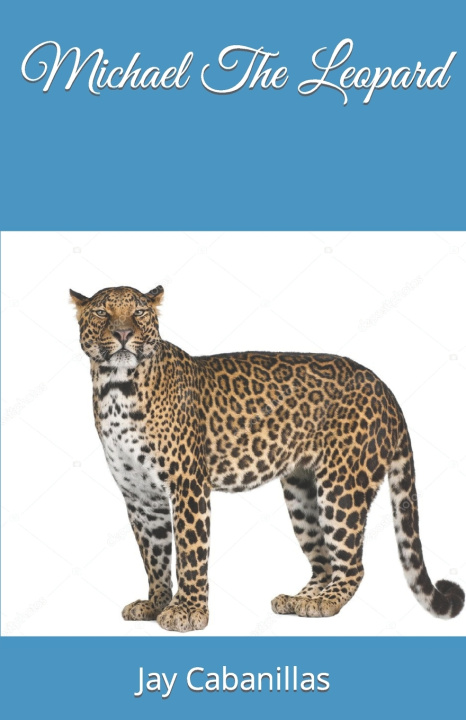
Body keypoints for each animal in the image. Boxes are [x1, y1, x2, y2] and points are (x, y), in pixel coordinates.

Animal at [70, 284, 464, 632]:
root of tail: (385, 388)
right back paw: (300, 599)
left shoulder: (188, 485)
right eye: (102, 312)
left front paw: (188, 612)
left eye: (139, 312)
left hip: (342, 487)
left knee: (352, 564)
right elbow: (154, 555)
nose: (123, 333)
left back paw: (326, 602)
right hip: (301, 492)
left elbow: (191, 553)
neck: (116, 388)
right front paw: (155, 604)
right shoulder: (140, 496)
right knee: (323, 561)